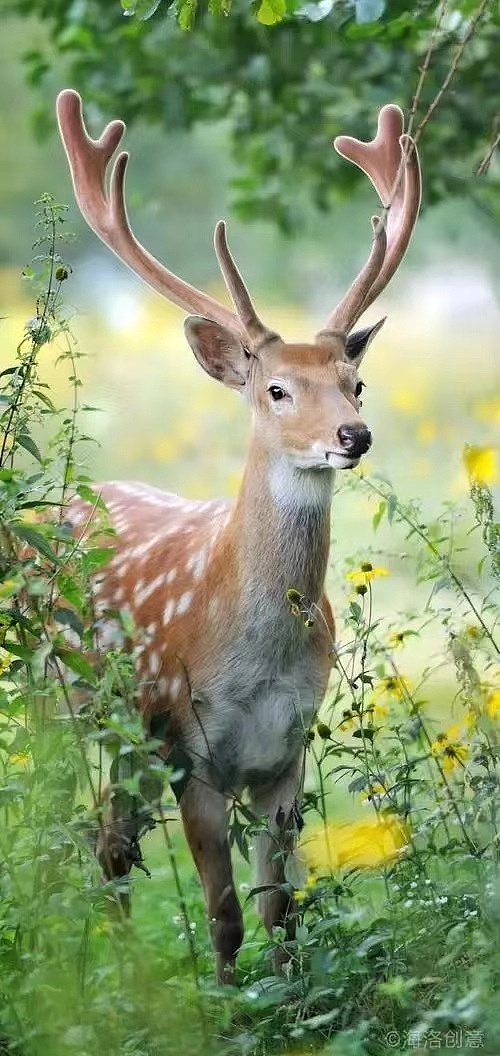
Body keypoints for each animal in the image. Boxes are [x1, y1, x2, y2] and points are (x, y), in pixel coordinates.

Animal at [56, 89, 421, 984]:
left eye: (357, 381)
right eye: (277, 389)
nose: (354, 435)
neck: (252, 659)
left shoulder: (286, 755)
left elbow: (280, 910)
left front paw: (290, 999)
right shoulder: (190, 749)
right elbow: (223, 915)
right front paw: (223, 1001)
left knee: (109, 843)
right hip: (69, 709)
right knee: (87, 833)